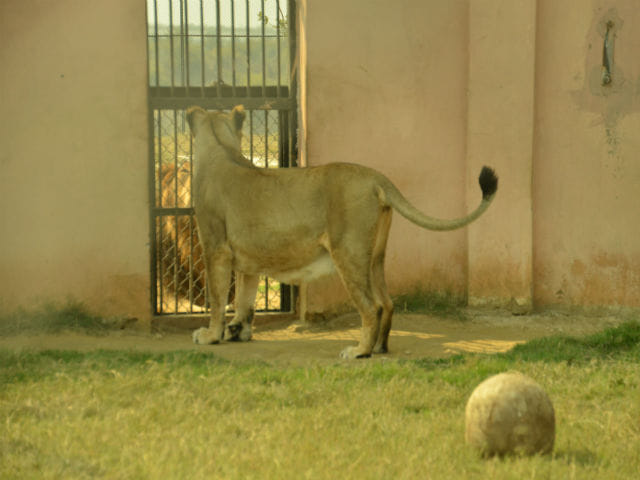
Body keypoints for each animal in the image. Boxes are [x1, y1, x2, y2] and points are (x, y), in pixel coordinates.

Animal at [186, 105, 498, 359]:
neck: (221, 148)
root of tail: (375, 177)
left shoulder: (216, 248)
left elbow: (218, 299)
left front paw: (211, 336)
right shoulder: (249, 259)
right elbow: (245, 299)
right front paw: (238, 331)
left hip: (347, 252)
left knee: (371, 307)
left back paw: (359, 351)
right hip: (375, 257)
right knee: (387, 303)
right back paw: (379, 347)